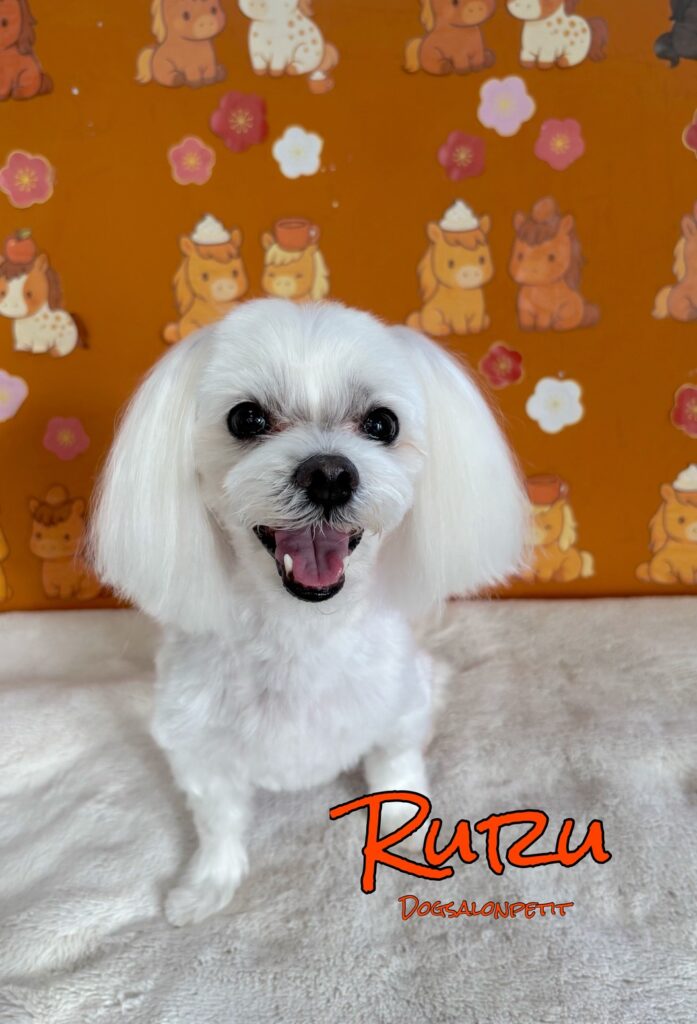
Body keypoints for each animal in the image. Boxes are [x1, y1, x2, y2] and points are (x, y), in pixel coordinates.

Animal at [91, 299, 526, 925]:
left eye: (382, 424)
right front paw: (207, 885)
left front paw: (405, 832)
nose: (329, 474)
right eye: (246, 419)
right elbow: (218, 824)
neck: (300, 635)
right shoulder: (198, 747)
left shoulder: (399, 712)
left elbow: (397, 772)